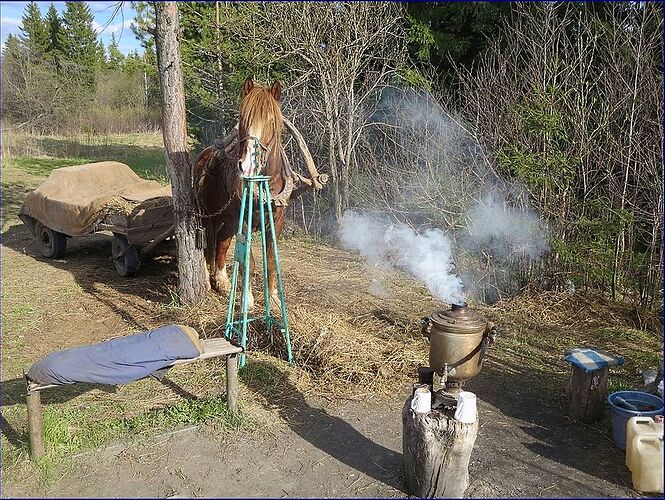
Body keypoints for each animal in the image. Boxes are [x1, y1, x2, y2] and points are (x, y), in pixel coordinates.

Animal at [195, 77, 294, 308]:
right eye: (242, 118)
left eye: (272, 121)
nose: (248, 165)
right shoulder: (245, 221)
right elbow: (249, 258)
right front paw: (247, 299)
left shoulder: (277, 222)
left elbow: (271, 261)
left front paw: (273, 298)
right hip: (206, 214)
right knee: (206, 244)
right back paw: (207, 278)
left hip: (228, 220)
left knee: (221, 244)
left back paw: (222, 281)